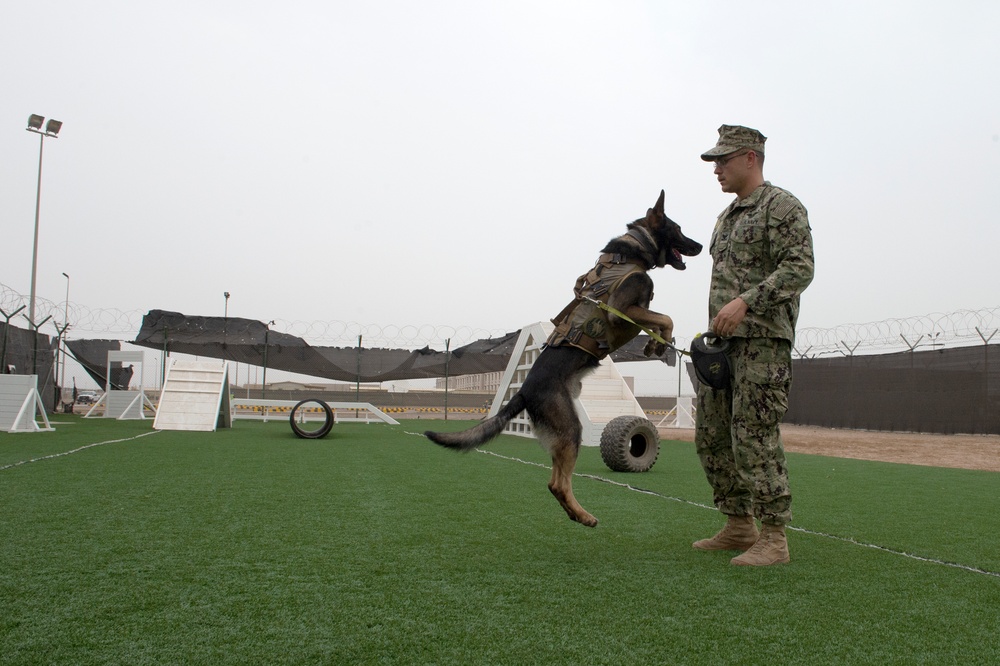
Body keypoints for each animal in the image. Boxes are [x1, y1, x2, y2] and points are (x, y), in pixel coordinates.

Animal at [426, 189, 700, 528]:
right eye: (678, 229)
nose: (700, 246)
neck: (633, 251)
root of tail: (525, 391)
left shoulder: (634, 313)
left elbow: (660, 321)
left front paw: (655, 346)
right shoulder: (622, 311)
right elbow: (665, 317)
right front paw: (660, 342)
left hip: (562, 434)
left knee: (553, 480)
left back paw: (574, 513)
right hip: (571, 429)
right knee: (557, 482)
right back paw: (583, 515)